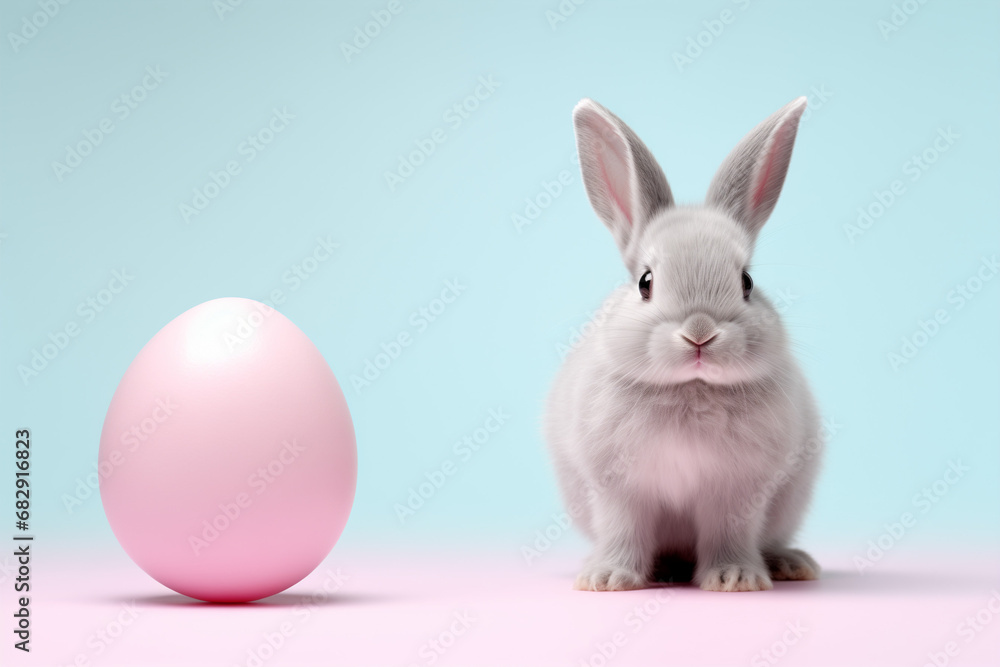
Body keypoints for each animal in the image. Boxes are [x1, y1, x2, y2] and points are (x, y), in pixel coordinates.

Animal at [545, 97, 823, 592]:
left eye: (746, 282)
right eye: (645, 282)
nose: (700, 333)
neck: (691, 388)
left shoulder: (737, 493)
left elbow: (729, 534)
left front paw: (734, 579)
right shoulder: (619, 491)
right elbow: (624, 530)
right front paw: (608, 578)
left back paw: (791, 564)